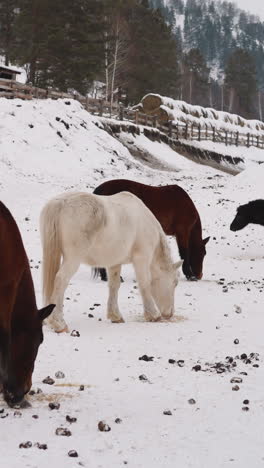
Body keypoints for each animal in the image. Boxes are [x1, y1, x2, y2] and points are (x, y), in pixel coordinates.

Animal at [40, 191, 183, 332]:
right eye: (175, 283)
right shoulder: (142, 258)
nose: (169, 314)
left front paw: (115, 316)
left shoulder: (115, 263)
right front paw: (153, 315)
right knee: (61, 280)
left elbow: (114, 286)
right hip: (73, 259)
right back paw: (58, 323)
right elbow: (144, 284)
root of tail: (61, 203)